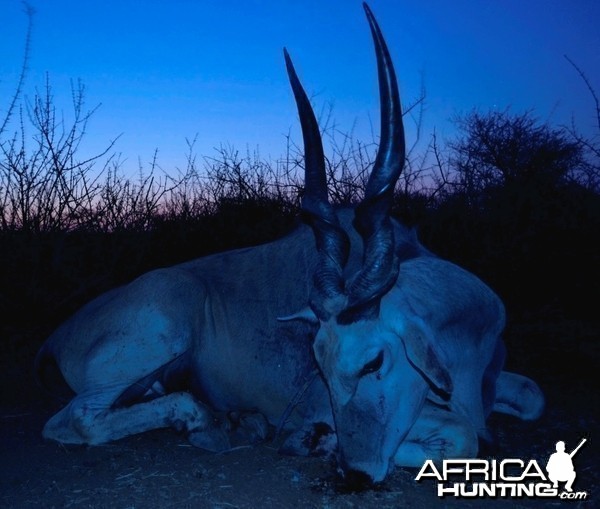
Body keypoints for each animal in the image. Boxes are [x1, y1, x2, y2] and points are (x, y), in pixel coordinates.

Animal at [36, 4, 544, 488]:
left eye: (374, 361)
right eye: (319, 366)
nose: (354, 473)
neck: (468, 330)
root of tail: (57, 338)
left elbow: (530, 398)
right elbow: (462, 435)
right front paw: (316, 439)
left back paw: (236, 422)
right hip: (166, 322)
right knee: (75, 420)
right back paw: (207, 421)